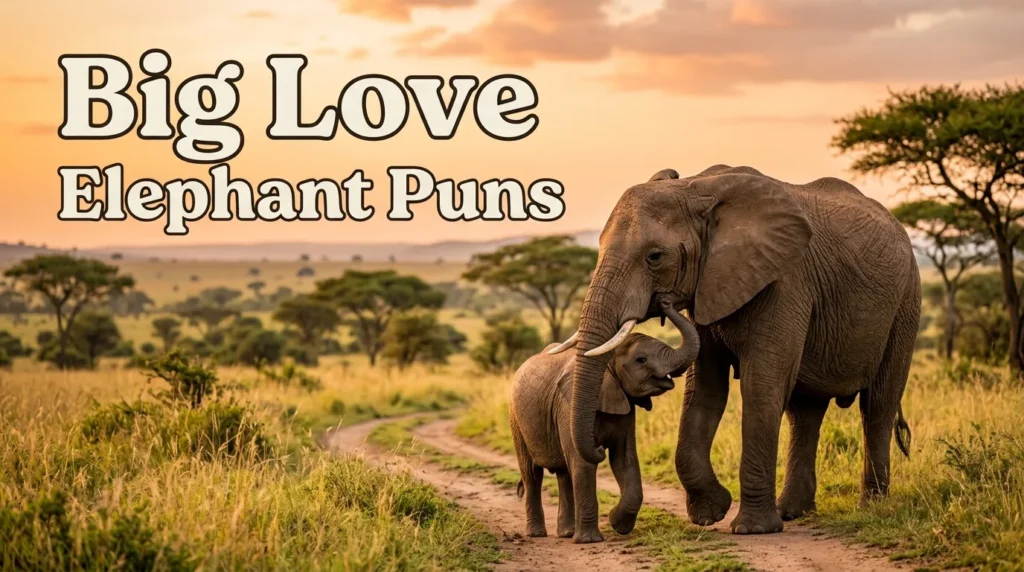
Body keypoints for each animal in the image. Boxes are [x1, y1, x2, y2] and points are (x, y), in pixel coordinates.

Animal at [510, 298, 699, 543]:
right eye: (641, 360)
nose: (666, 303)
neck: (604, 363)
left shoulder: (625, 407)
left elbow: (624, 459)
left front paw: (616, 522)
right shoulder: (567, 406)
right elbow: (583, 463)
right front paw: (590, 540)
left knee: (564, 474)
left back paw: (567, 533)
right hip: (516, 420)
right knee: (532, 474)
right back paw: (537, 534)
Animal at [552, 165, 919, 535]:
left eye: (654, 257)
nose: (665, 302)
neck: (696, 188)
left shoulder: (783, 282)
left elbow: (761, 386)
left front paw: (752, 529)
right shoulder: (710, 286)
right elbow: (705, 389)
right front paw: (711, 512)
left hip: (905, 304)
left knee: (878, 405)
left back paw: (870, 508)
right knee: (805, 412)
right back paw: (792, 513)